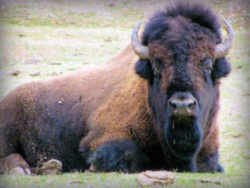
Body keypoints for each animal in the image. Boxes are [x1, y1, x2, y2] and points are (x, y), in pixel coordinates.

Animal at [0, 2, 233, 174]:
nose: (182, 105)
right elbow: (127, 156)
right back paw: (25, 169)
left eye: (207, 63)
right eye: (156, 65)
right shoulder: (102, 139)